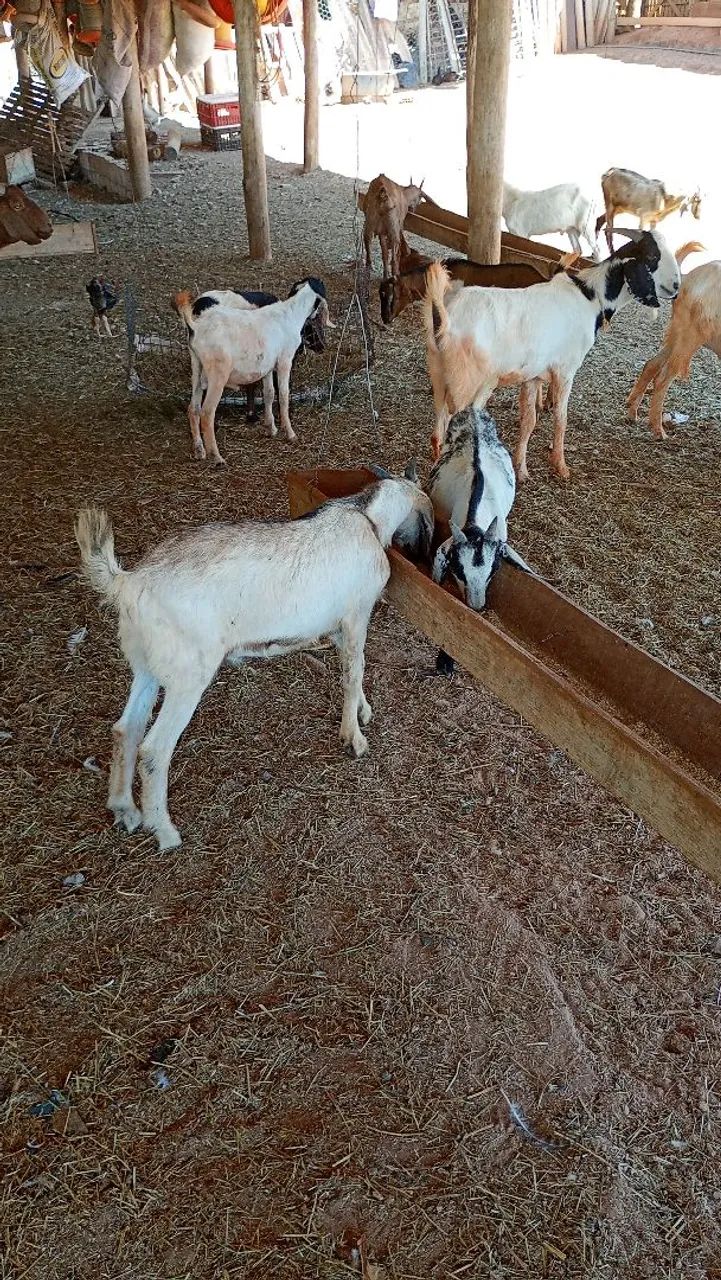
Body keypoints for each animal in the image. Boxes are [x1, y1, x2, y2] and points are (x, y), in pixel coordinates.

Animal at [75, 480, 434, 850]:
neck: (366, 517)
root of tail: (128, 582)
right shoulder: (356, 614)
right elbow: (354, 670)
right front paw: (354, 739)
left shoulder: (338, 627)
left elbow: (352, 664)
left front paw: (363, 710)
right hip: (189, 674)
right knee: (155, 749)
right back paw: (165, 831)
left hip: (145, 663)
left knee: (126, 728)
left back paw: (124, 810)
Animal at [173, 280, 330, 465]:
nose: (322, 347)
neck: (291, 314)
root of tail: (195, 327)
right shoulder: (284, 361)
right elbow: (283, 395)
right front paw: (290, 433)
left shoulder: (267, 366)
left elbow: (269, 393)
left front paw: (271, 428)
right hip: (218, 374)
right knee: (207, 412)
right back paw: (217, 457)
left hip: (197, 368)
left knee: (193, 409)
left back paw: (199, 450)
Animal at [423, 229, 681, 481]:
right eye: (652, 257)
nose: (676, 287)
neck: (589, 296)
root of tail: (446, 320)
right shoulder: (566, 370)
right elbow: (561, 417)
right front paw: (560, 466)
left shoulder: (533, 375)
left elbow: (529, 420)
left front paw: (522, 470)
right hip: (469, 381)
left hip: (440, 373)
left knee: (438, 430)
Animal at [626, 248, 718, 440]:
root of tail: (688, 277)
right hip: (690, 336)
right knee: (663, 378)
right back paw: (658, 430)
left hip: (677, 332)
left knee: (651, 364)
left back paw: (632, 414)